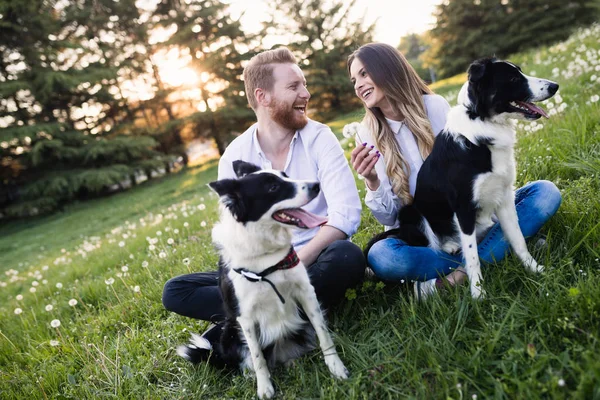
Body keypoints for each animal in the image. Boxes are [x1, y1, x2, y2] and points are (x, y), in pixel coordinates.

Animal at [177, 161, 346, 398]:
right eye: (272, 188)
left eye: (286, 175)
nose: (316, 185)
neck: (266, 256)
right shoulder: (246, 317)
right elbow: (257, 358)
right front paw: (264, 388)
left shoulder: (306, 293)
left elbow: (324, 334)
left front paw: (336, 368)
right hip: (231, 332)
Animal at [366, 57, 556, 298]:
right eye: (513, 78)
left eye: (519, 72)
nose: (554, 86)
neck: (483, 124)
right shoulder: (464, 207)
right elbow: (473, 257)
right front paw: (478, 294)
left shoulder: (504, 197)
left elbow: (518, 238)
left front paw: (534, 270)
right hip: (410, 211)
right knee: (431, 246)